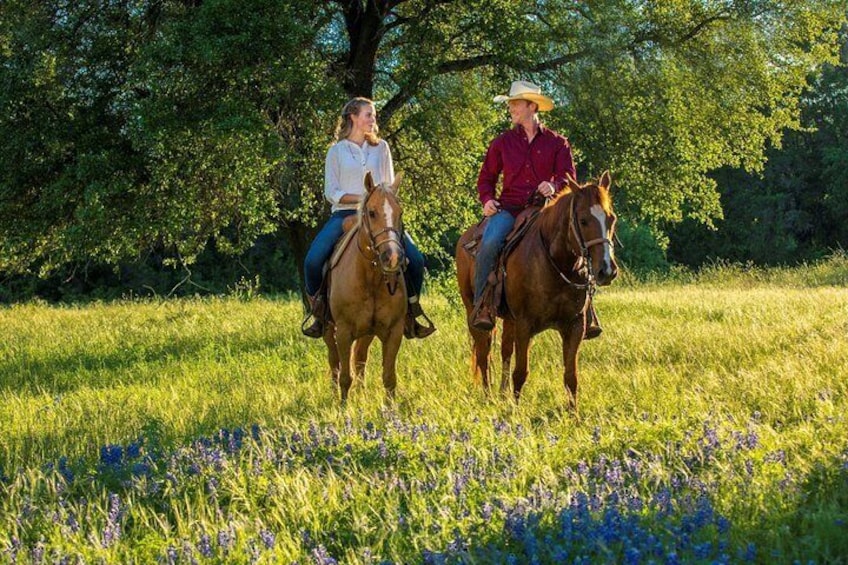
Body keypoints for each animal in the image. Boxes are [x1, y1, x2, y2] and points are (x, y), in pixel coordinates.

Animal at [322, 171, 408, 400]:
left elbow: (389, 378)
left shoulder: (393, 331)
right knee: (334, 361)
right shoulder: (343, 332)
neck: (370, 278)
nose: (392, 257)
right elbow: (345, 376)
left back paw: (362, 393)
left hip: (367, 332)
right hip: (328, 329)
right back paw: (333, 393)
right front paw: (343, 407)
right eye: (371, 212)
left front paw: (390, 408)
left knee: (360, 357)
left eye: (400, 213)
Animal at [458, 171, 616, 410]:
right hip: (473, 313)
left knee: (505, 350)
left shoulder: (575, 326)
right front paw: (514, 412)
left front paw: (574, 415)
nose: (606, 270)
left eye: (611, 218)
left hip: (509, 319)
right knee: (484, 353)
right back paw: (488, 397)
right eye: (583, 220)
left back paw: (502, 394)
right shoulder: (525, 324)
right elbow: (521, 372)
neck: (556, 263)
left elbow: (571, 377)